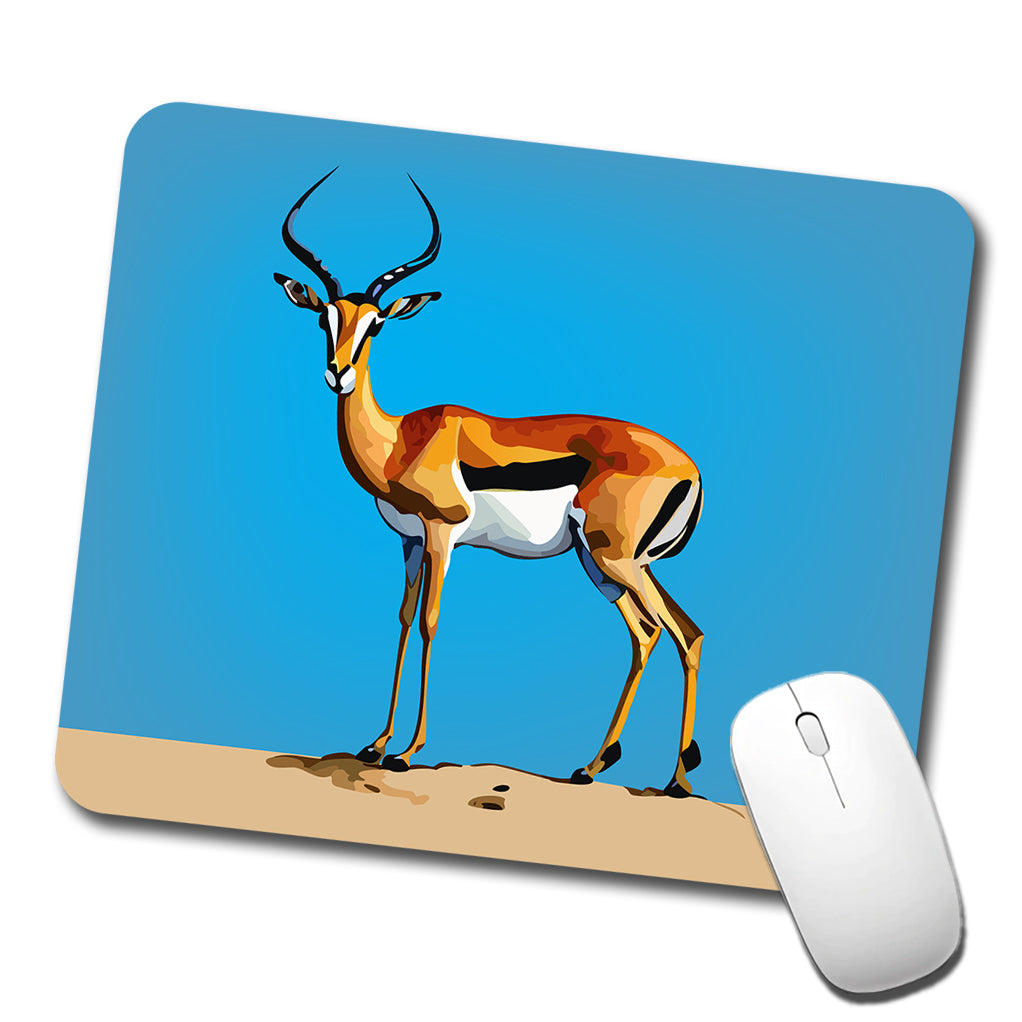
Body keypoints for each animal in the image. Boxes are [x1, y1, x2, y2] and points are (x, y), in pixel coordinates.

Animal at [274, 169, 706, 796]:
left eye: (376, 323)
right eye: (324, 317)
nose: (338, 373)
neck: (401, 439)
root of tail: (690, 467)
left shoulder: (441, 533)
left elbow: (430, 623)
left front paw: (407, 752)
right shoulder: (408, 542)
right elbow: (402, 619)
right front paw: (376, 744)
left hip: (616, 560)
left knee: (663, 632)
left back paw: (671, 780)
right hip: (606, 564)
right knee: (669, 632)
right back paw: (596, 767)